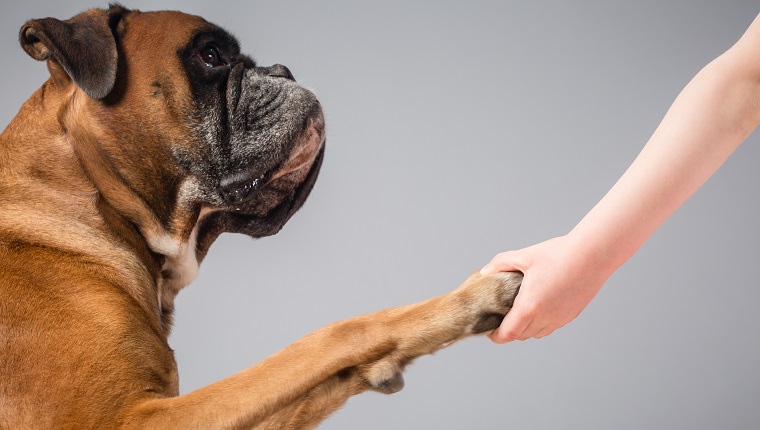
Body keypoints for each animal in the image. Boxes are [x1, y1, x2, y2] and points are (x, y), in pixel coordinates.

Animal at [0, 5, 524, 428]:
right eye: (211, 55)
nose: (282, 70)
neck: (86, 189)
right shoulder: (132, 418)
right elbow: (336, 334)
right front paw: (472, 297)